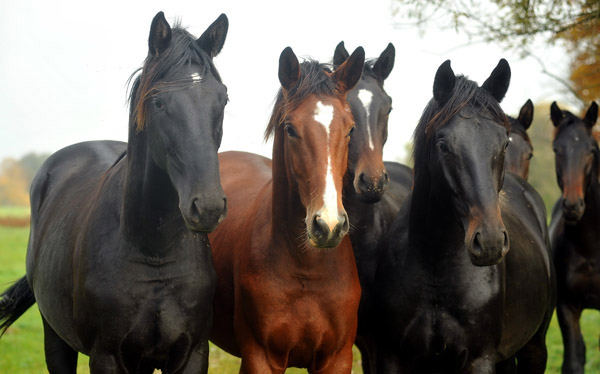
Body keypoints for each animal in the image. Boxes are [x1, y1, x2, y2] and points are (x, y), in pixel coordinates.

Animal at [0, 10, 230, 372]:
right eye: (158, 102)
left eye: (223, 99)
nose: (207, 207)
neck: (154, 253)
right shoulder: (106, 356)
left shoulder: (193, 353)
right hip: (54, 336)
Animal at [206, 46, 366, 374]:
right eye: (290, 129)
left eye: (351, 129)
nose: (328, 226)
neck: (307, 270)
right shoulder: (260, 358)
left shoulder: (337, 358)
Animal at [368, 60, 556, 372]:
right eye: (443, 145)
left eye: (504, 143)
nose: (490, 242)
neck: (436, 269)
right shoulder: (391, 357)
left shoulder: (479, 360)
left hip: (535, 348)